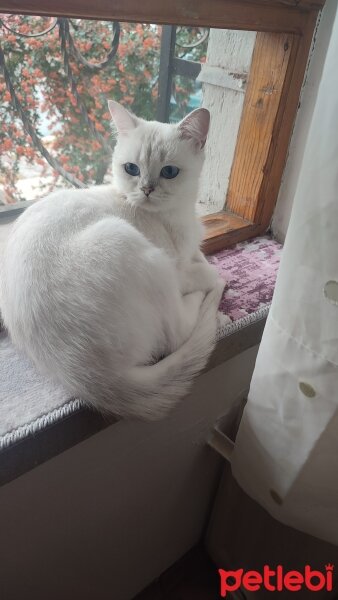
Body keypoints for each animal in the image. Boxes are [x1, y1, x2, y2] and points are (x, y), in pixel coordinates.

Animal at [0, 102, 224, 418]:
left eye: (169, 172)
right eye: (132, 169)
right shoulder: (177, 269)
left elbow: (200, 255)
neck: (178, 215)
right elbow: (202, 270)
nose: (146, 189)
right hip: (133, 248)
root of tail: (87, 376)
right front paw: (212, 273)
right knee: (178, 332)